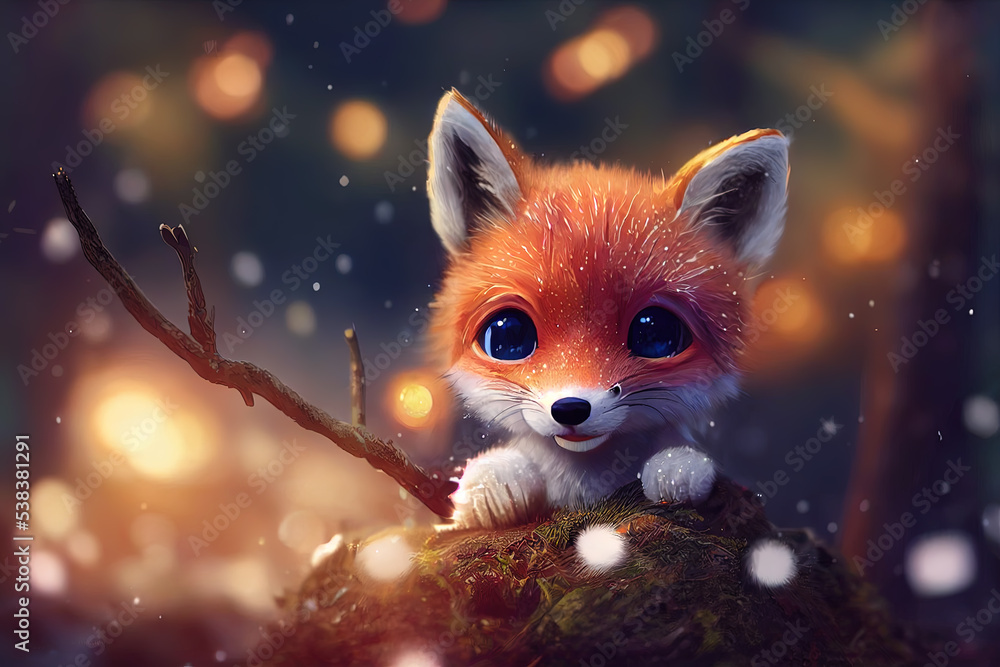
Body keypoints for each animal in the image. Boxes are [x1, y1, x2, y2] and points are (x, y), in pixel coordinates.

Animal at [425, 89, 789, 529]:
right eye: (510, 335)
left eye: (654, 333)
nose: (570, 408)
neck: (585, 491)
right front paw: (494, 484)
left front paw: (677, 470)